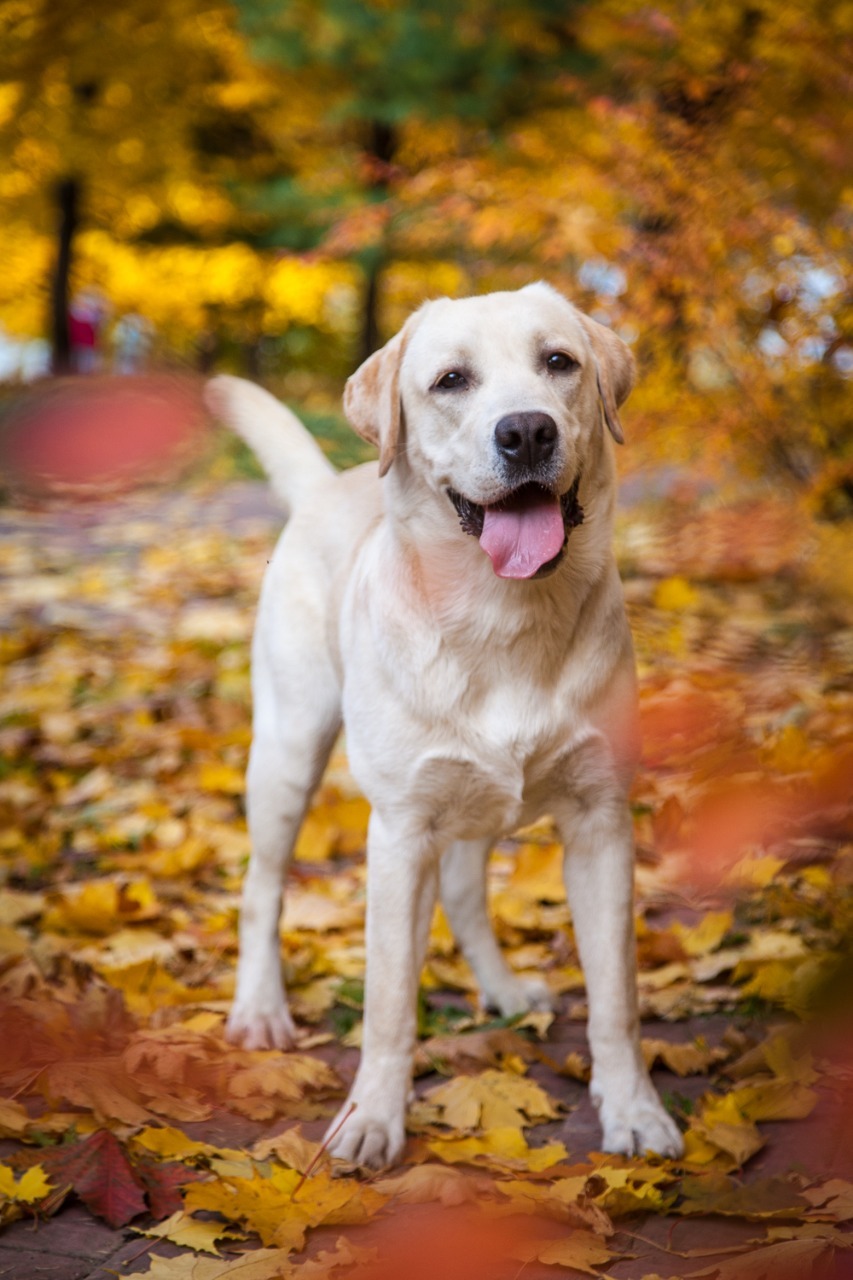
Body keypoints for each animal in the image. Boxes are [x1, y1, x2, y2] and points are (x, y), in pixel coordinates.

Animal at [208, 282, 681, 1172]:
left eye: (559, 362)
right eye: (451, 380)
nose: (525, 430)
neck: (503, 617)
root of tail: (327, 486)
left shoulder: (601, 821)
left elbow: (617, 996)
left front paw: (633, 1111)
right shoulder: (399, 832)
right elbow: (389, 1002)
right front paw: (371, 1119)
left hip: (477, 800)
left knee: (463, 892)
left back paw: (500, 988)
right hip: (287, 750)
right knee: (261, 888)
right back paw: (259, 1009)